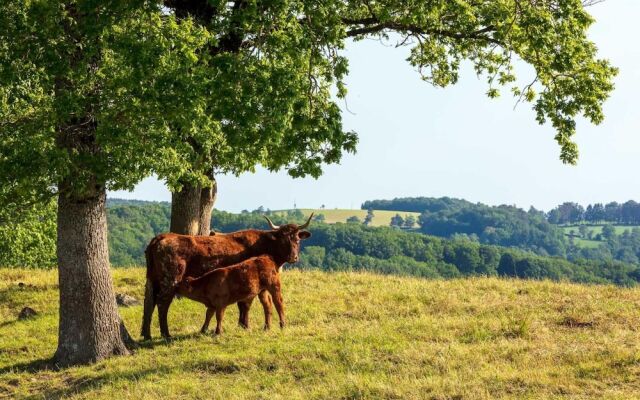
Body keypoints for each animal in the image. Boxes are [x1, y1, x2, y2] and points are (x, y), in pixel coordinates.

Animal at [141, 214, 312, 340]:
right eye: (283, 240)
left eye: (297, 239)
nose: (293, 257)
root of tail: (161, 237)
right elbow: (244, 304)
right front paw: (244, 325)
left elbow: (244, 304)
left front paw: (242, 325)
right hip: (169, 280)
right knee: (162, 304)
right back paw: (165, 334)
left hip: (152, 280)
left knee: (149, 302)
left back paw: (147, 334)